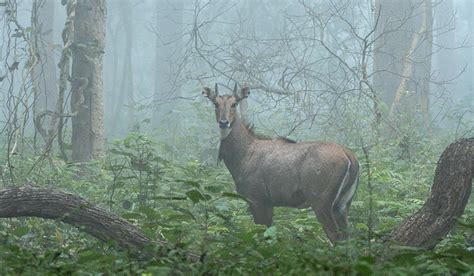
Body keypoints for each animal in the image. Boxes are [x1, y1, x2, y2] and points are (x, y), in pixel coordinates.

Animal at [203, 83, 360, 243]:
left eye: (234, 103)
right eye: (215, 103)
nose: (224, 122)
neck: (244, 153)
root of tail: (349, 157)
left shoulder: (257, 199)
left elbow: (262, 233)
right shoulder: (268, 203)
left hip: (321, 202)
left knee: (336, 237)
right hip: (342, 205)